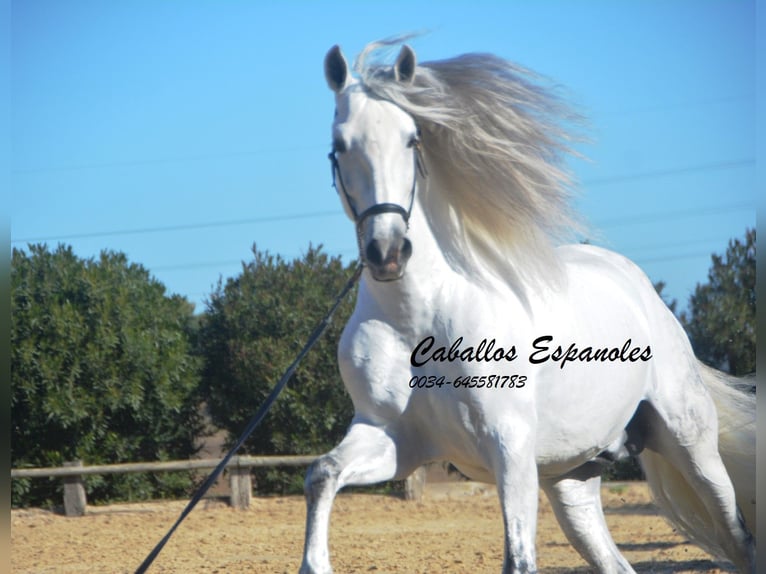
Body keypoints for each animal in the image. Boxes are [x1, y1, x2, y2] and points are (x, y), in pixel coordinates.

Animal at [300, 41, 756, 574]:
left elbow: (518, 558)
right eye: (340, 144)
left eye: (412, 139)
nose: (388, 253)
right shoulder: (392, 438)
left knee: (740, 538)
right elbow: (322, 473)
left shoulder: (510, 447)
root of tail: (643, 291)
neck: (420, 319)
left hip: (691, 445)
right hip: (572, 479)